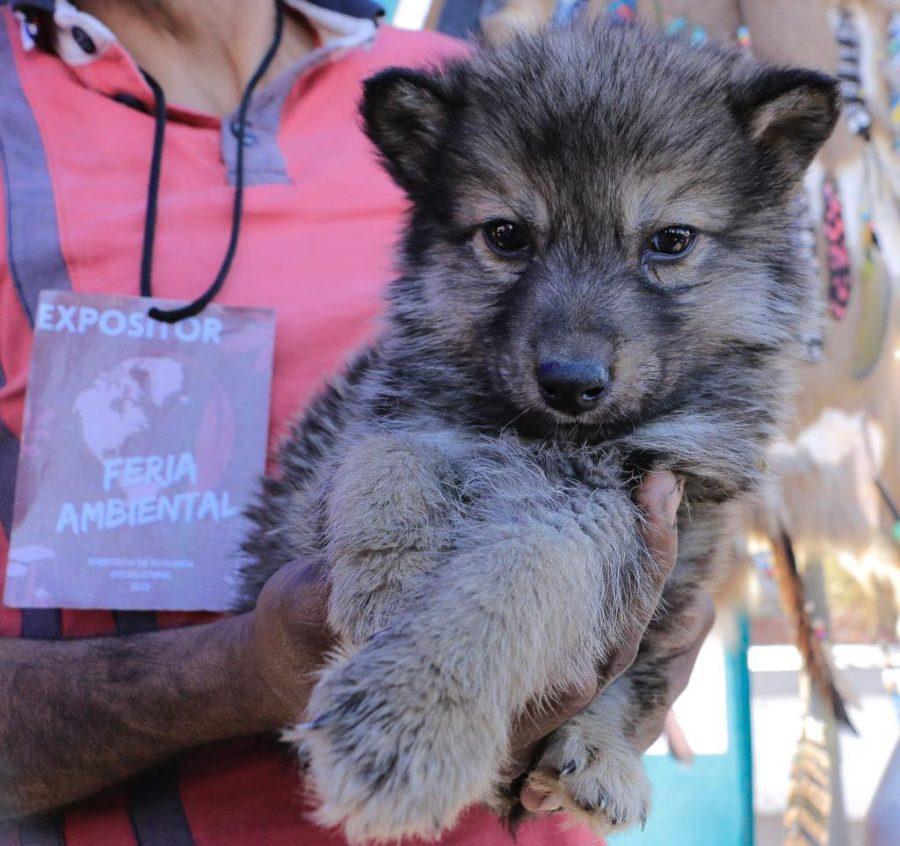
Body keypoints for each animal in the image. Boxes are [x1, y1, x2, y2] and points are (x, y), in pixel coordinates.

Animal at [237, 21, 836, 846]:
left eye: (670, 240)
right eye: (507, 236)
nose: (570, 382)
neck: (536, 432)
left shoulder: (616, 506)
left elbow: (516, 582)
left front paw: (413, 718)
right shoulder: (376, 428)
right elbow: (386, 457)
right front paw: (388, 579)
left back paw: (599, 758)